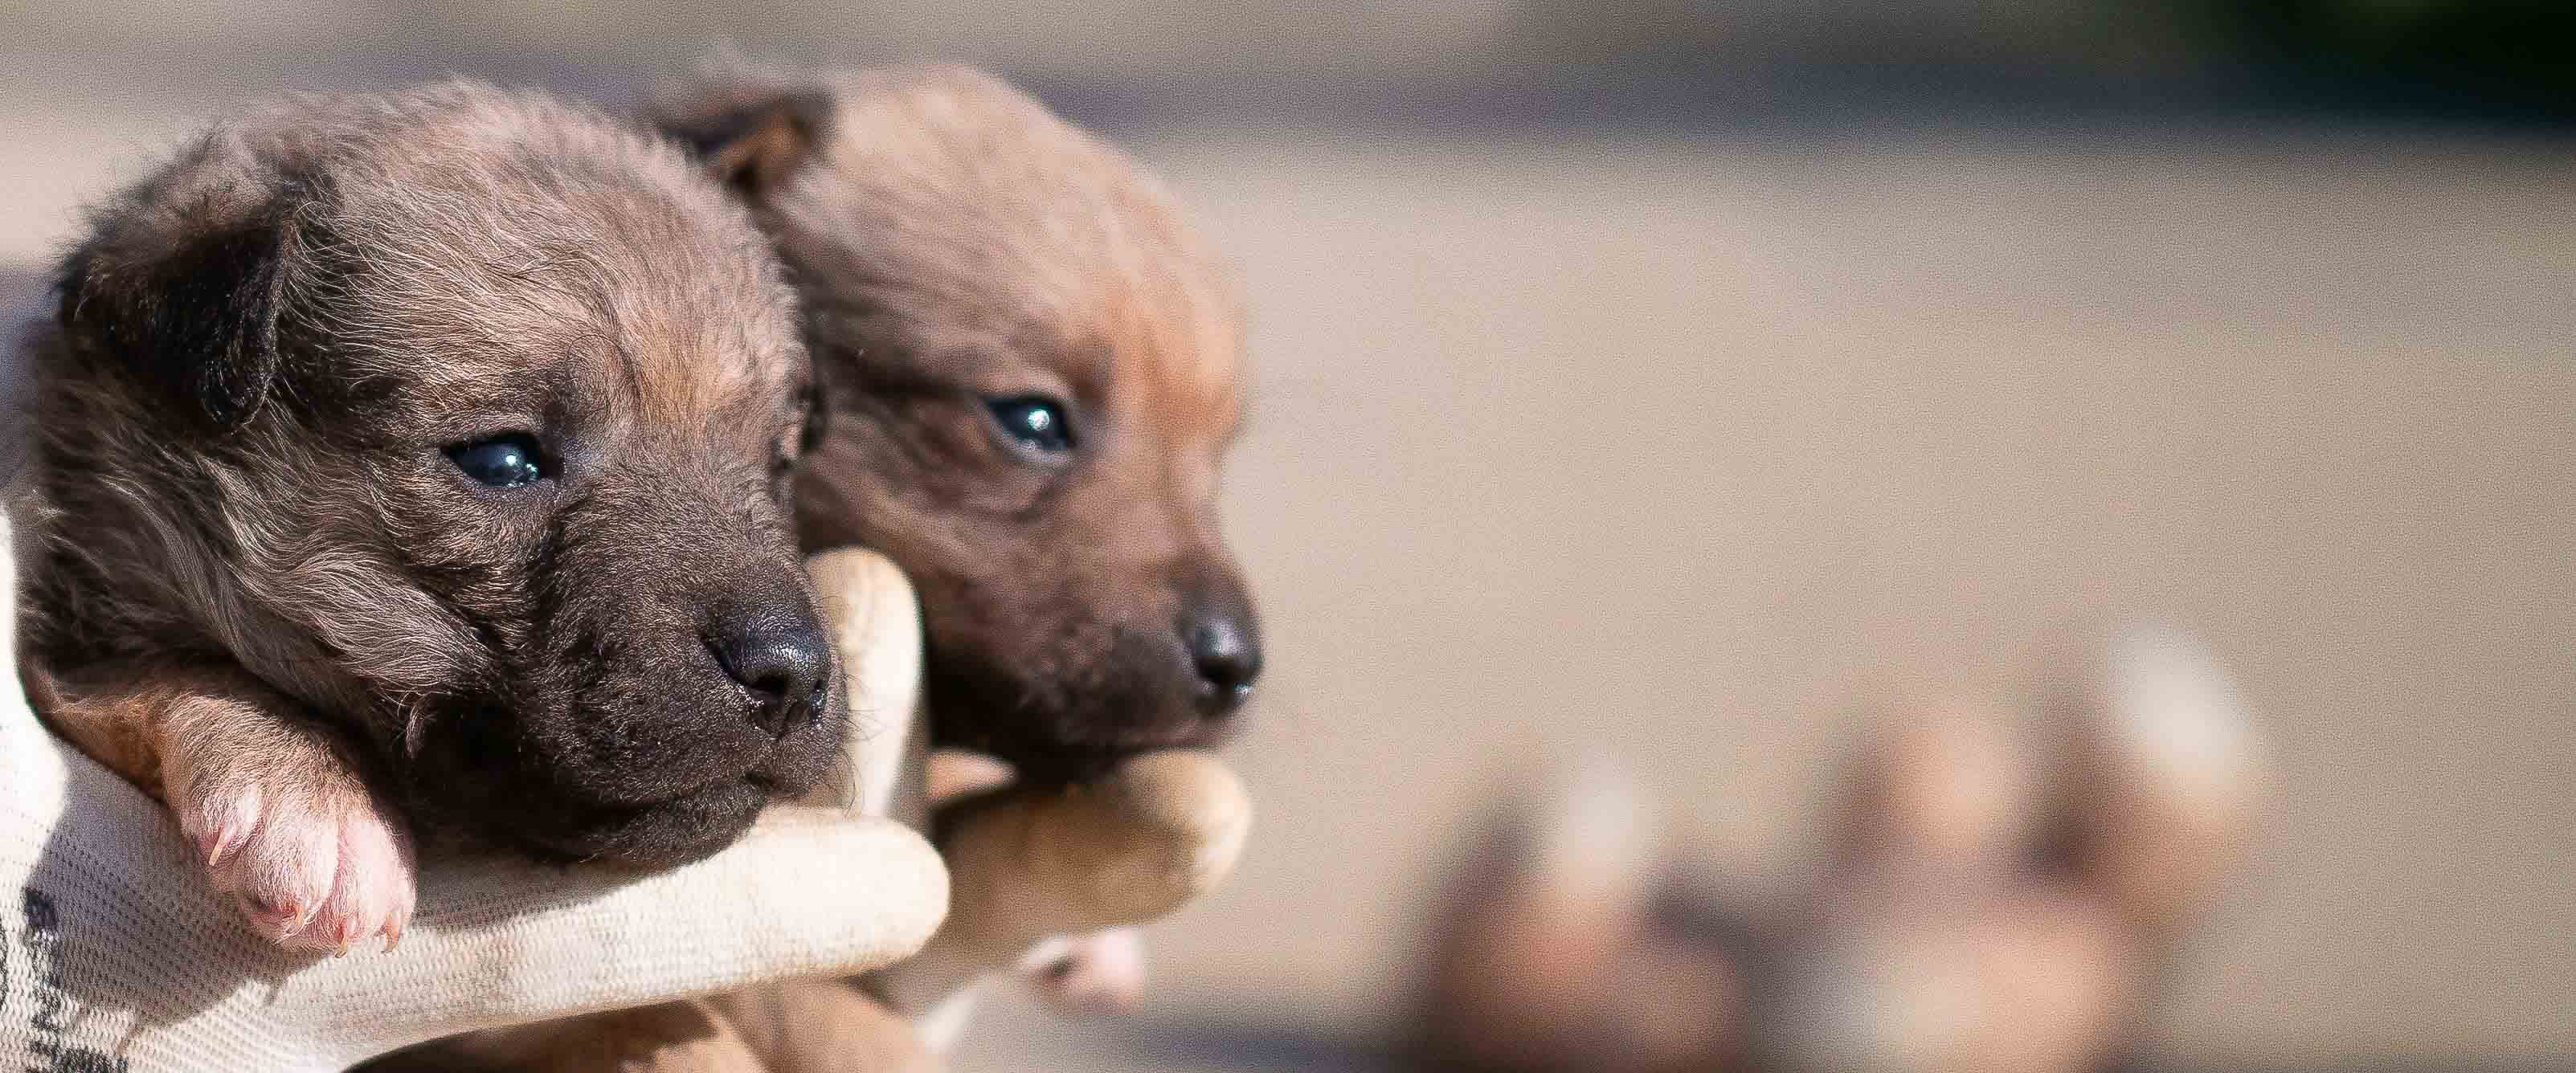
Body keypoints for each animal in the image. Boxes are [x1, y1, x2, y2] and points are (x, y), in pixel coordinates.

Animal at [14, 84, 849, 952]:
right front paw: (309, 795)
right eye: (503, 462)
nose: (791, 672)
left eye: (778, 463)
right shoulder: (74, 637)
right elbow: (175, 666)